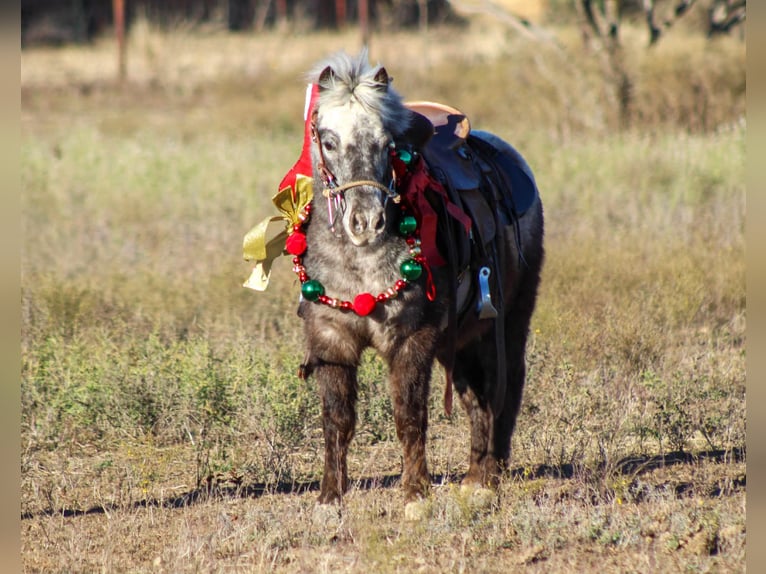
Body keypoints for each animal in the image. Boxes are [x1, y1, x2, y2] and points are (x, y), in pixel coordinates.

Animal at [293, 51, 544, 507]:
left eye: (387, 144)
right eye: (328, 140)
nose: (366, 222)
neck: (359, 262)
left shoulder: (412, 337)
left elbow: (409, 415)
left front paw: (415, 495)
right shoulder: (330, 337)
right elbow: (337, 419)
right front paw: (330, 498)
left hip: (510, 319)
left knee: (504, 389)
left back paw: (488, 479)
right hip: (460, 337)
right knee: (476, 398)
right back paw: (474, 477)